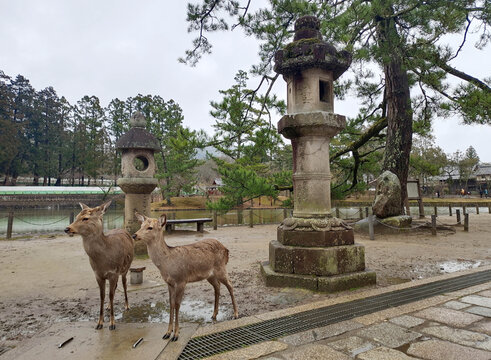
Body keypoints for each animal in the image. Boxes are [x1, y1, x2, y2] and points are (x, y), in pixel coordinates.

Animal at [65, 201, 135, 330]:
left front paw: (112, 324)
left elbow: (111, 295)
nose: (67, 228)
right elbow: (102, 295)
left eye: (85, 218)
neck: (103, 261)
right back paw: (108, 306)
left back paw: (127, 306)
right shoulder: (98, 274)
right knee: (116, 287)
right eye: (76, 216)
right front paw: (99, 323)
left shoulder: (114, 273)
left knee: (124, 284)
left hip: (126, 268)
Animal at [134, 212, 239, 342]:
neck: (166, 265)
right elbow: (171, 303)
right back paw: (214, 314)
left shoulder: (181, 280)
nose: (134, 235)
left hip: (221, 268)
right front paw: (167, 333)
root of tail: (226, 249)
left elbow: (177, 304)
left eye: (150, 227)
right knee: (217, 286)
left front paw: (176, 335)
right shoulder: (169, 283)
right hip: (210, 275)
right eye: (141, 225)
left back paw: (235, 314)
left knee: (230, 285)